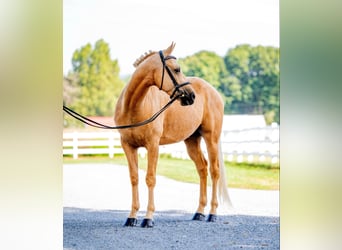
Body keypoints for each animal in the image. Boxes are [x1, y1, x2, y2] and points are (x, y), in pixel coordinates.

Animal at [115, 43, 232, 229]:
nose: (191, 95)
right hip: (192, 141)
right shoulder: (128, 146)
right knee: (202, 168)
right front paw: (132, 217)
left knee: (214, 171)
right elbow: (134, 178)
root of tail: (213, 91)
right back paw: (199, 212)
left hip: (211, 138)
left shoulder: (153, 146)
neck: (134, 106)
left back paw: (212, 213)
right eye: (176, 69)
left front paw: (148, 218)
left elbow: (150, 178)